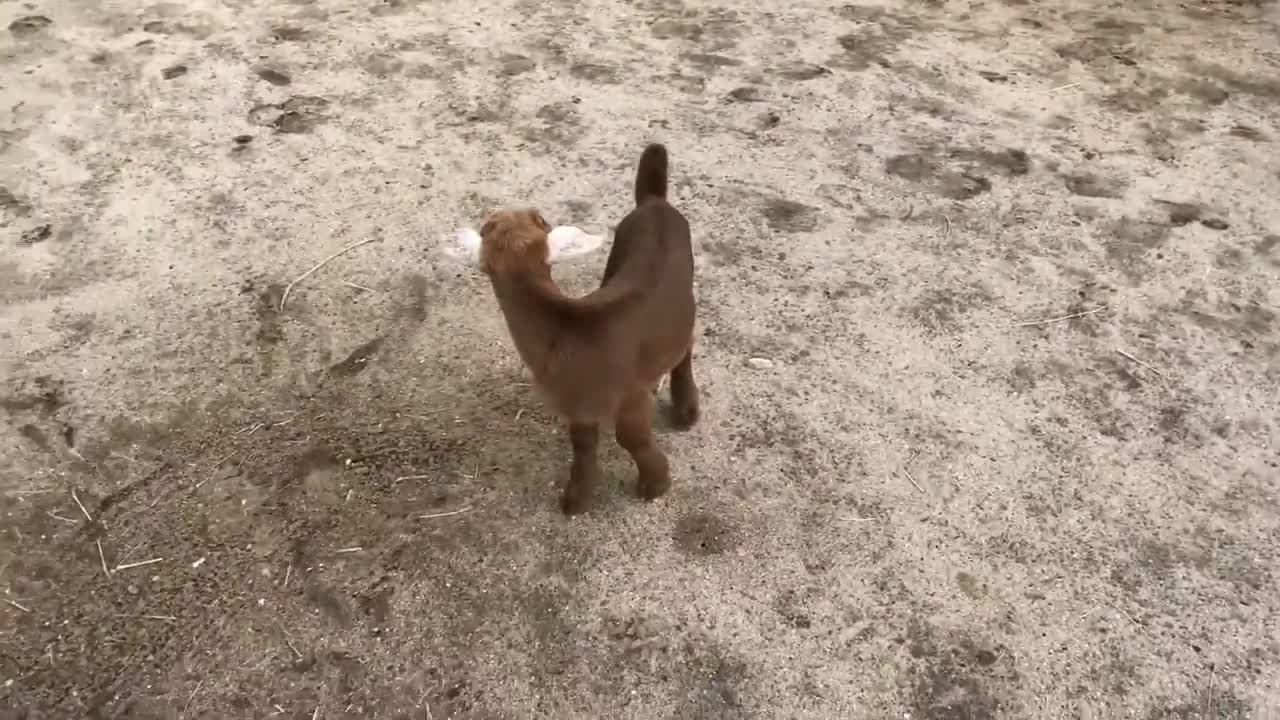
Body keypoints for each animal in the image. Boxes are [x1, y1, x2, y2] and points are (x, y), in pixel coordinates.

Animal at [453, 141, 701, 509]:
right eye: (489, 226)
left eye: (539, 219)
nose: (524, 211)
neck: (567, 327)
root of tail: (654, 201)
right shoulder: (578, 405)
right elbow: (582, 444)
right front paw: (578, 497)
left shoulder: (629, 395)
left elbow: (632, 438)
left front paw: (655, 484)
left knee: (686, 342)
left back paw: (686, 409)